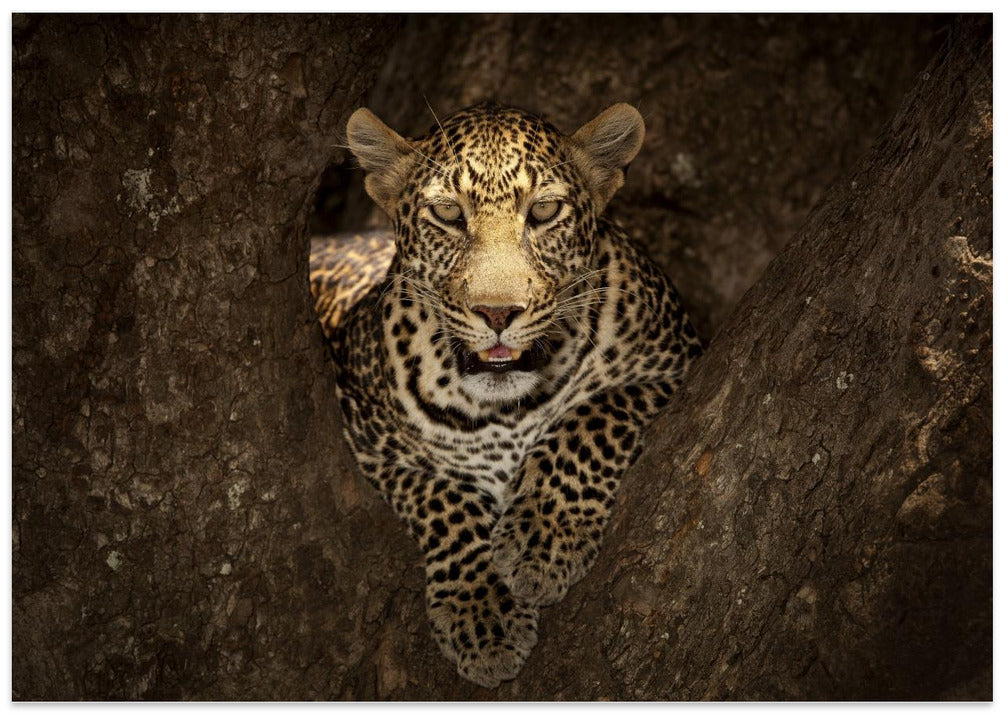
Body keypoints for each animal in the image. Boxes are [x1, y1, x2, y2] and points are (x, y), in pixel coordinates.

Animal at [309, 101, 702, 688]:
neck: (505, 410)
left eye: (544, 211)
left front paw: (543, 538)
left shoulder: (676, 363)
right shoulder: (367, 439)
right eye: (449, 214)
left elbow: (591, 417)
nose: (497, 313)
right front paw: (483, 615)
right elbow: (442, 497)